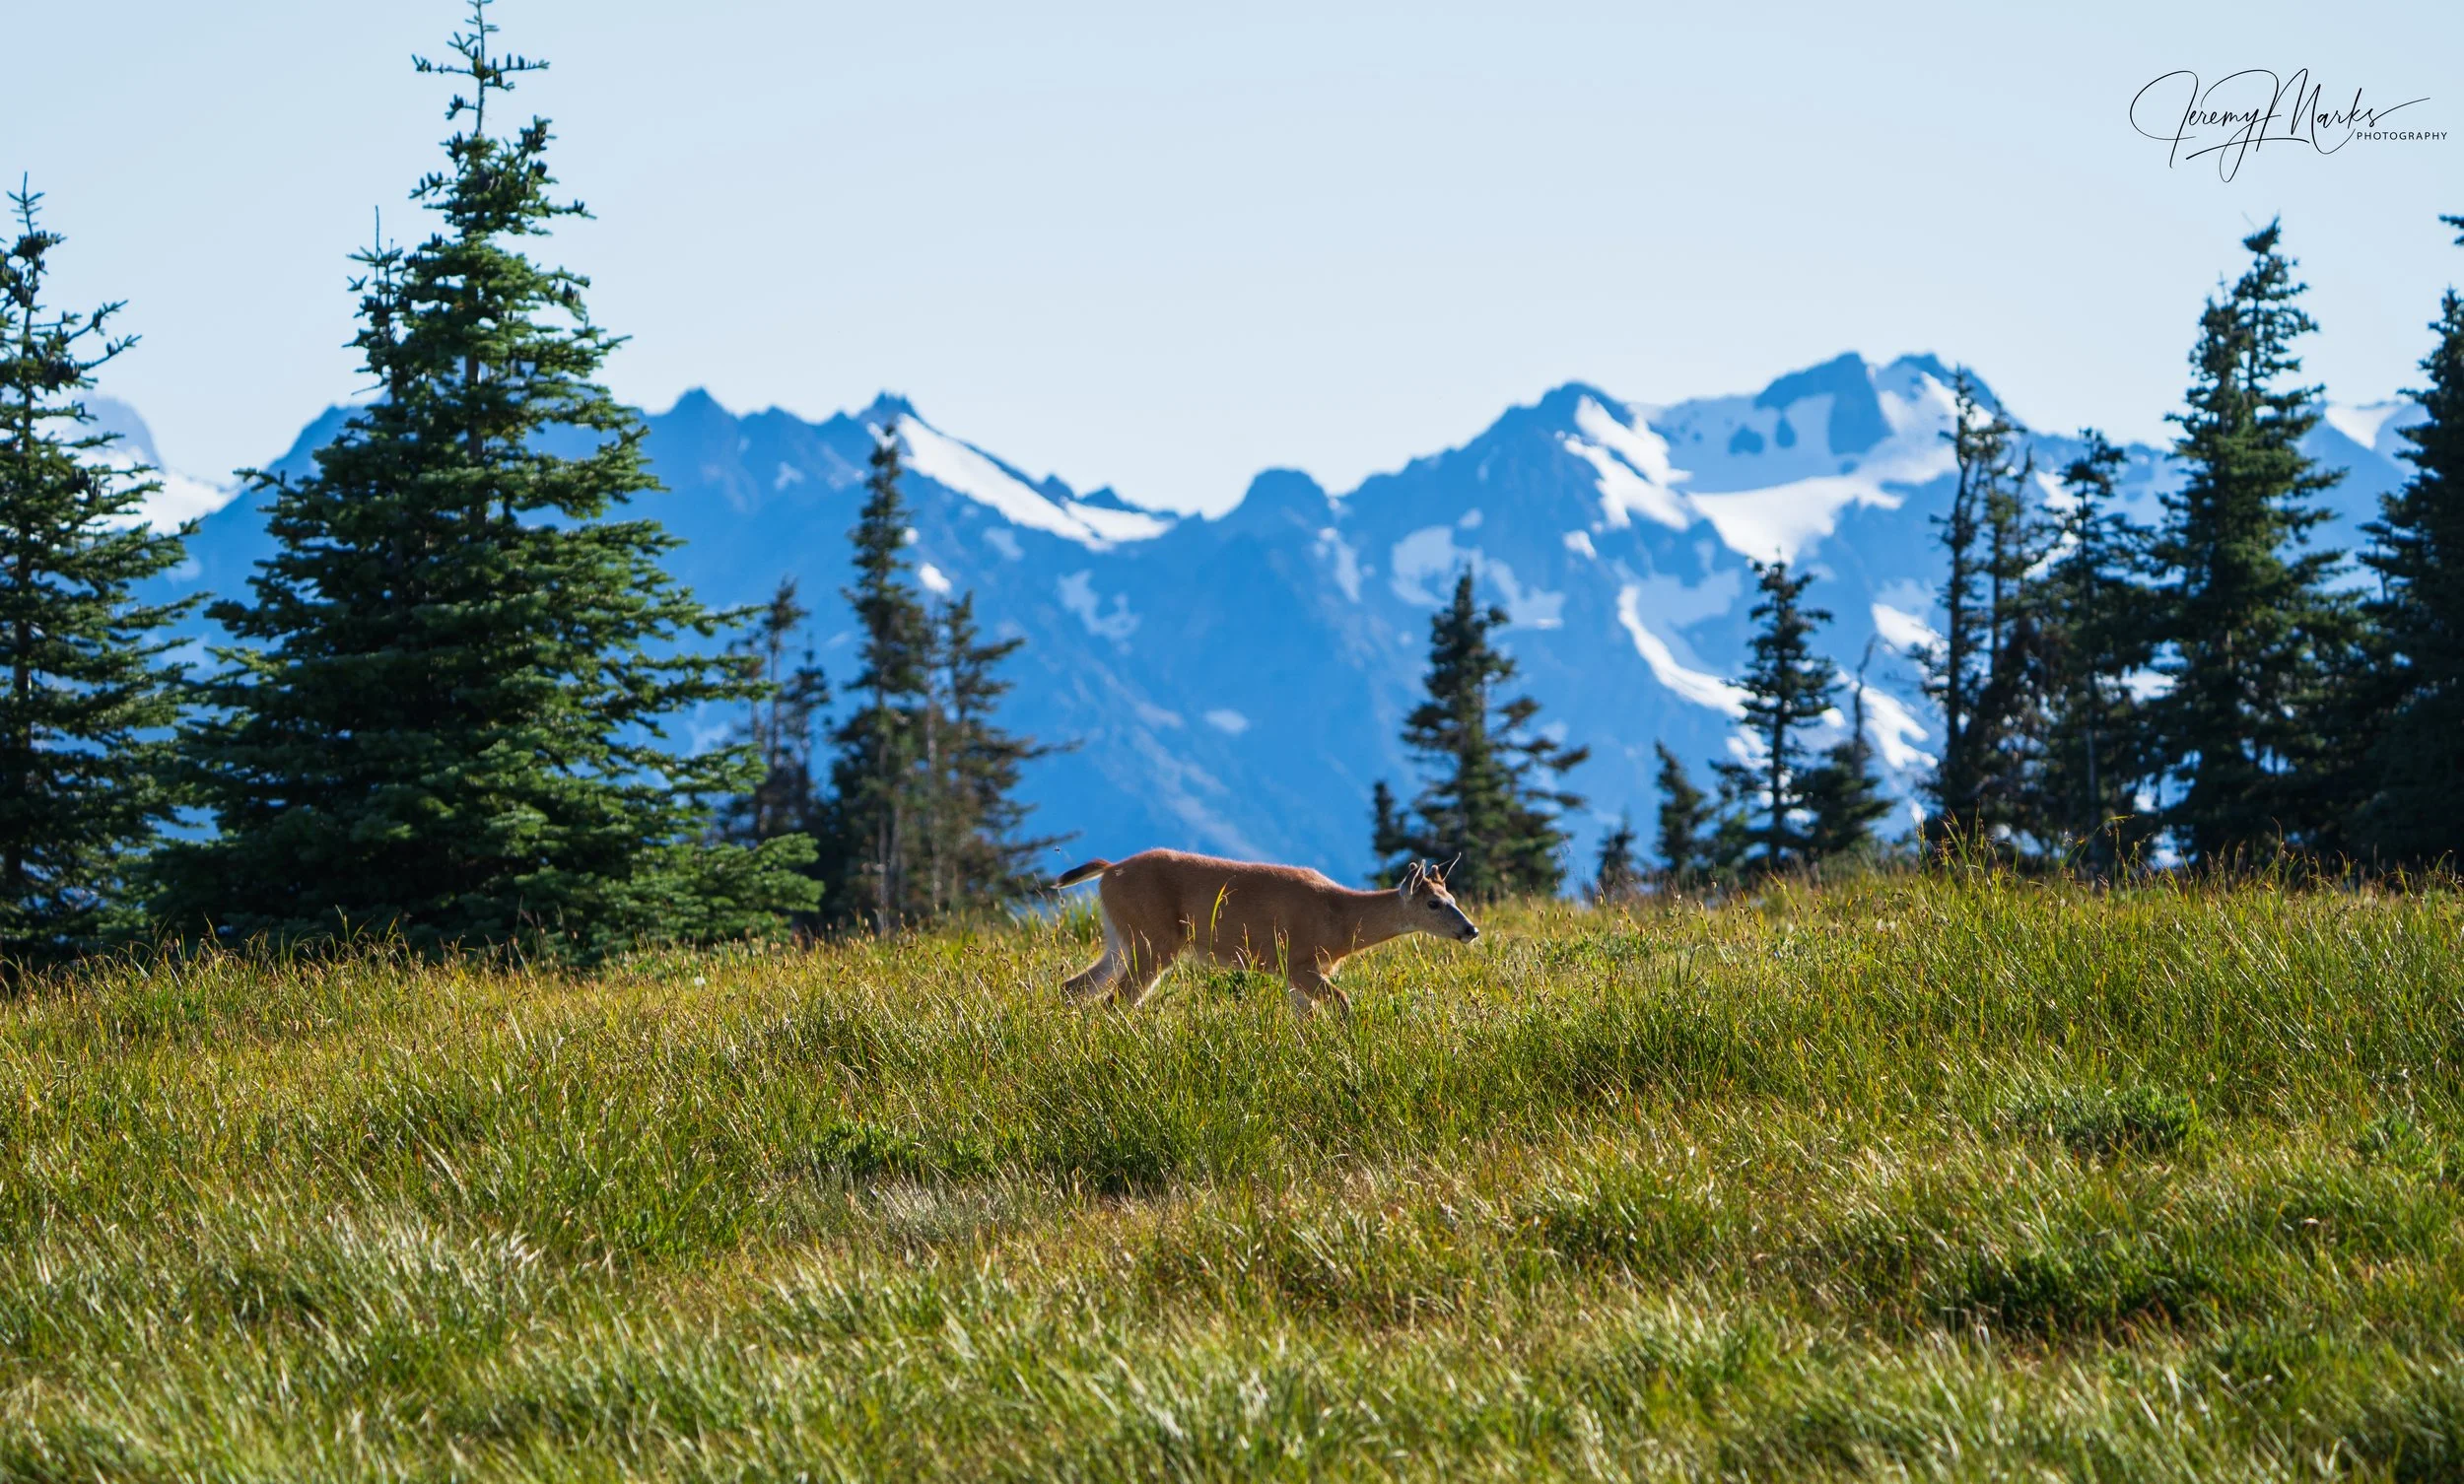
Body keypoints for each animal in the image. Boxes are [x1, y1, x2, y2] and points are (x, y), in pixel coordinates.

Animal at [1051, 849, 1480, 1017]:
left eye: (1452, 896)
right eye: (1433, 903)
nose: (1471, 929)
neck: (1341, 919)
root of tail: (1109, 870)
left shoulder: (1297, 974)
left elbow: (1305, 1020)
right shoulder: (1299, 961)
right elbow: (1343, 1002)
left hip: (1120, 936)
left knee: (1076, 986)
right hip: (1154, 938)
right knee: (1117, 999)